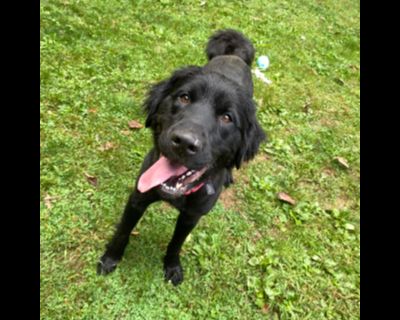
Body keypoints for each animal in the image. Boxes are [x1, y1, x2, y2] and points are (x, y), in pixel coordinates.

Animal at [97, 29, 266, 284]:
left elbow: (176, 243)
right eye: (184, 98)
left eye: (227, 117)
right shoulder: (137, 197)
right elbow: (123, 231)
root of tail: (235, 56)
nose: (185, 142)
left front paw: (172, 266)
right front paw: (110, 259)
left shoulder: (191, 216)